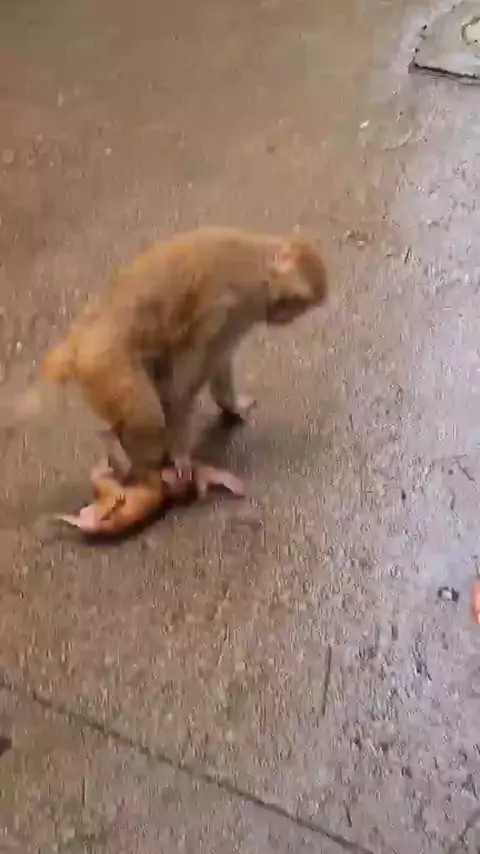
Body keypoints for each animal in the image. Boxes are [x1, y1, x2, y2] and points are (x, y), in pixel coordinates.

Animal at [4, 226, 329, 496]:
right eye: (296, 303)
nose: (284, 316)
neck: (258, 264)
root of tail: (77, 341)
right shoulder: (226, 306)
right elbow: (186, 380)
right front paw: (180, 453)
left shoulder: (238, 316)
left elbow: (219, 362)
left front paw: (231, 405)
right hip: (109, 367)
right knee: (147, 414)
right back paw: (131, 465)